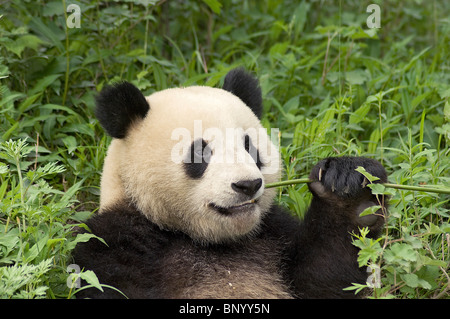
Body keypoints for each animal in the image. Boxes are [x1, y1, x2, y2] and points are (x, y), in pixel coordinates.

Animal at [74, 68, 386, 300]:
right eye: (200, 153)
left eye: (249, 147)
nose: (247, 185)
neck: (208, 240)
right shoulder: (115, 241)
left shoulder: (272, 234)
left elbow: (322, 280)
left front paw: (350, 189)